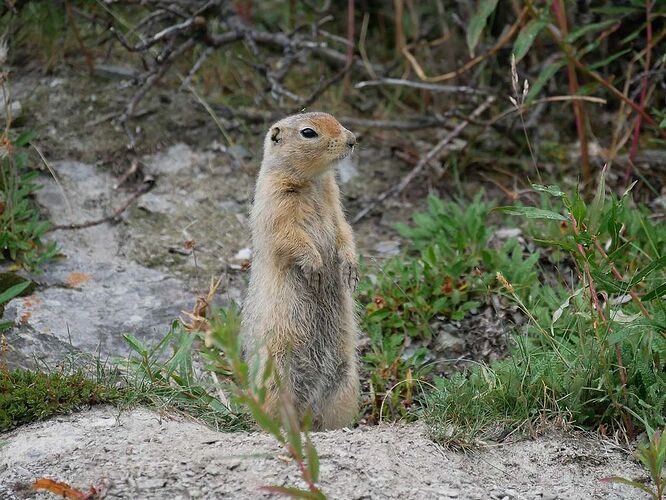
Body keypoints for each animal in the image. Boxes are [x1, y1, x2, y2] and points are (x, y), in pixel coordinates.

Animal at [241, 112, 360, 430]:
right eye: (308, 133)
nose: (352, 139)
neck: (314, 182)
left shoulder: (335, 204)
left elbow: (344, 231)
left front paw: (350, 268)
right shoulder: (275, 202)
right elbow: (288, 236)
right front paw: (316, 267)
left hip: (346, 381)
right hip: (276, 374)